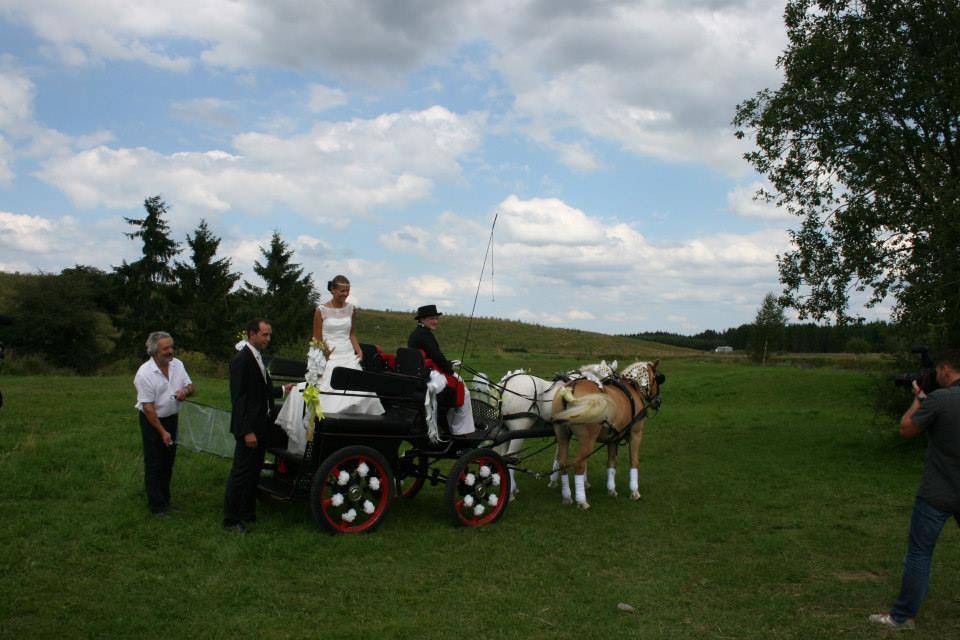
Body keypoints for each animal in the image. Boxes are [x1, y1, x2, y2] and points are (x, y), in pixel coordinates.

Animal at [492, 360, 620, 500]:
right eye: (609, 383)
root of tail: (505, 384)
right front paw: (584, 482)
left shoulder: (561, 431)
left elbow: (558, 455)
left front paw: (553, 480)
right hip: (518, 431)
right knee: (511, 458)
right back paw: (510, 493)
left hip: (505, 430)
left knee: (504, 456)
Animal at [552, 360, 664, 510]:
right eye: (657, 379)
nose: (658, 401)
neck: (631, 387)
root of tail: (571, 388)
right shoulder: (636, 434)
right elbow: (634, 461)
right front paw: (634, 491)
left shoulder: (612, 439)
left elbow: (611, 463)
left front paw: (611, 489)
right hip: (587, 439)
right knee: (579, 464)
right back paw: (582, 501)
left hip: (562, 435)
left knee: (563, 463)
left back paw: (567, 497)